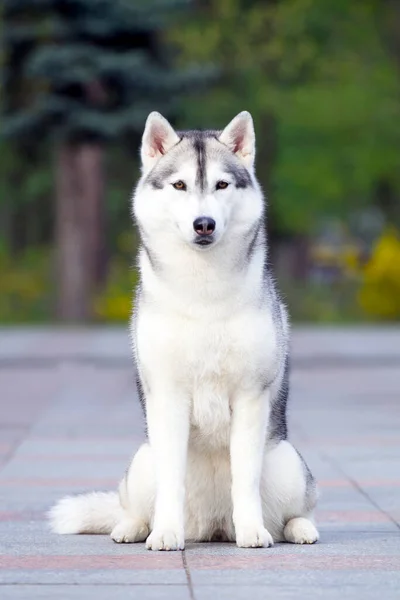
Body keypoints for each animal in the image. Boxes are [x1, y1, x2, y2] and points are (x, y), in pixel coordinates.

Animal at [49, 110, 318, 552]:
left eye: (221, 184)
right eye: (180, 185)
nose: (203, 224)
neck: (202, 291)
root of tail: (214, 527)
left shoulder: (250, 397)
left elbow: (245, 478)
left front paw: (252, 532)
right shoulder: (168, 396)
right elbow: (170, 480)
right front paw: (166, 534)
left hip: (288, 463)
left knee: (293, 512)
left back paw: (297, 529)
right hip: (142, 461)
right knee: (133, 505)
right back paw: (134, 527)